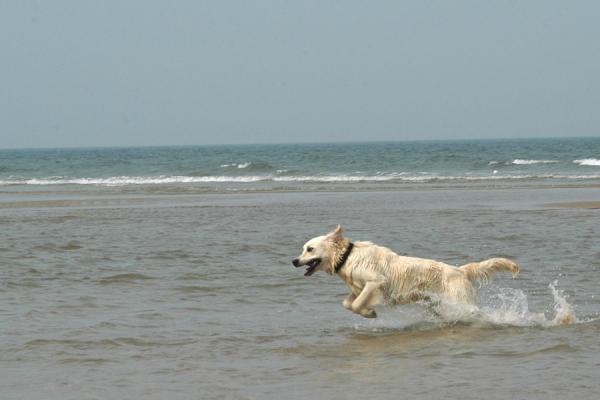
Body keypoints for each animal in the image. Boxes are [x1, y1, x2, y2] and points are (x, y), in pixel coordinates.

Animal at [292, 227, 516, 318]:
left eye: (310, 249)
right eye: (302, 249)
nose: (294, 261)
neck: (347, 256)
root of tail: (460, 270)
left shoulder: (376, 282)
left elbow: (356, 303)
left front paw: (370, 313)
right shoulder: (357, 288)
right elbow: (347, 303)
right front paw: (368, 313)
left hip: (461, 300)